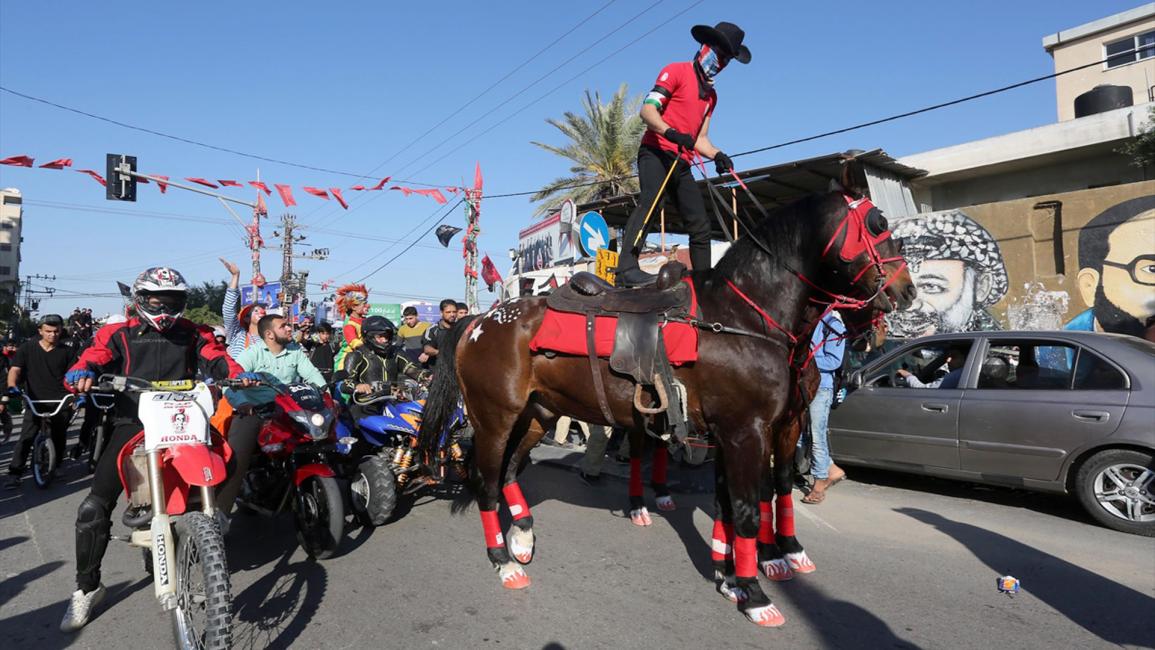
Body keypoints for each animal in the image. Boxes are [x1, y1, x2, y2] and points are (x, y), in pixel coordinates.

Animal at [415, 190, 910, 628]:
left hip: (539, 415)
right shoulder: (746, 432)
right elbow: (748, 508)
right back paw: (504, 561)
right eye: (877, 225)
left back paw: (521, 535)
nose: (905, 291)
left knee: (511, 472)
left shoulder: (750, 431)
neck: (740, 320)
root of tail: (478, 321)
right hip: (495, 420)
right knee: (486, 481)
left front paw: (732, 575)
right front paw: (754, 593)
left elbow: (738, 500)